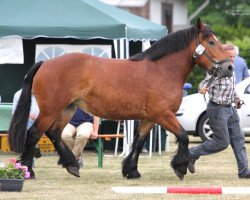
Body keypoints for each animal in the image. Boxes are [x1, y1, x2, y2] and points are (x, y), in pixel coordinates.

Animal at [8, 18, 233, 180]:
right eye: (211, 42)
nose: (229, 67)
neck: (161, 70)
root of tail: (45, 63)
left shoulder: (149, 118)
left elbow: (138, 143)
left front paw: (131, 171)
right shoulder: (164, 115)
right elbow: (184, 136)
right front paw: (180, 167)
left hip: (67, 109)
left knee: (54, 133)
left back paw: (72, 165)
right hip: (51, 110)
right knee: (34, 134)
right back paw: (28, 171)